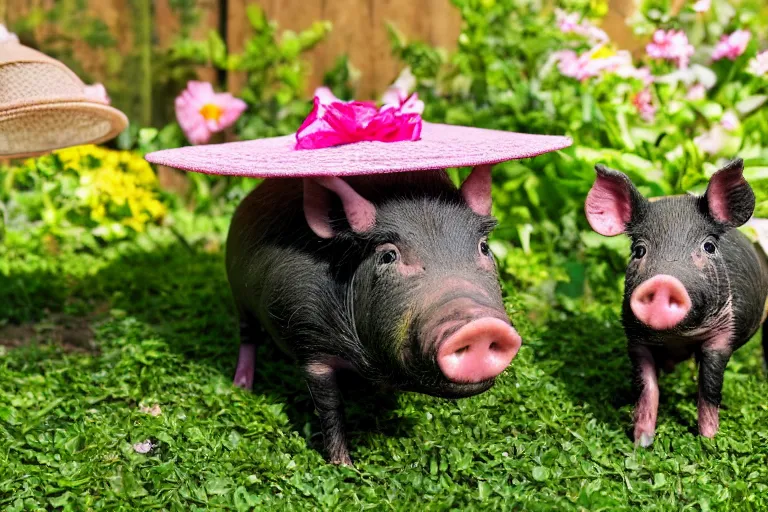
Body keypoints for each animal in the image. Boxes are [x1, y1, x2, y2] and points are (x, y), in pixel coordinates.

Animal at [224, 168, 520, 464]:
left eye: (484, 247)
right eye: (388, 255)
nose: (480, 325)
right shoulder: (310, 342)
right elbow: (330, 407)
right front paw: (344, 466)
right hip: (238, 295)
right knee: (247, 336)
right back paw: (242, 387)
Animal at [584, 159, 764, 444]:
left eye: (709, 247)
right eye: (639, 250)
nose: (663, 282)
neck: (676, 337)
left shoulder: (723, 335)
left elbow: (709, 388)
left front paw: (708, 441)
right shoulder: (635, 339)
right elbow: (647, 388)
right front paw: (641, 442)